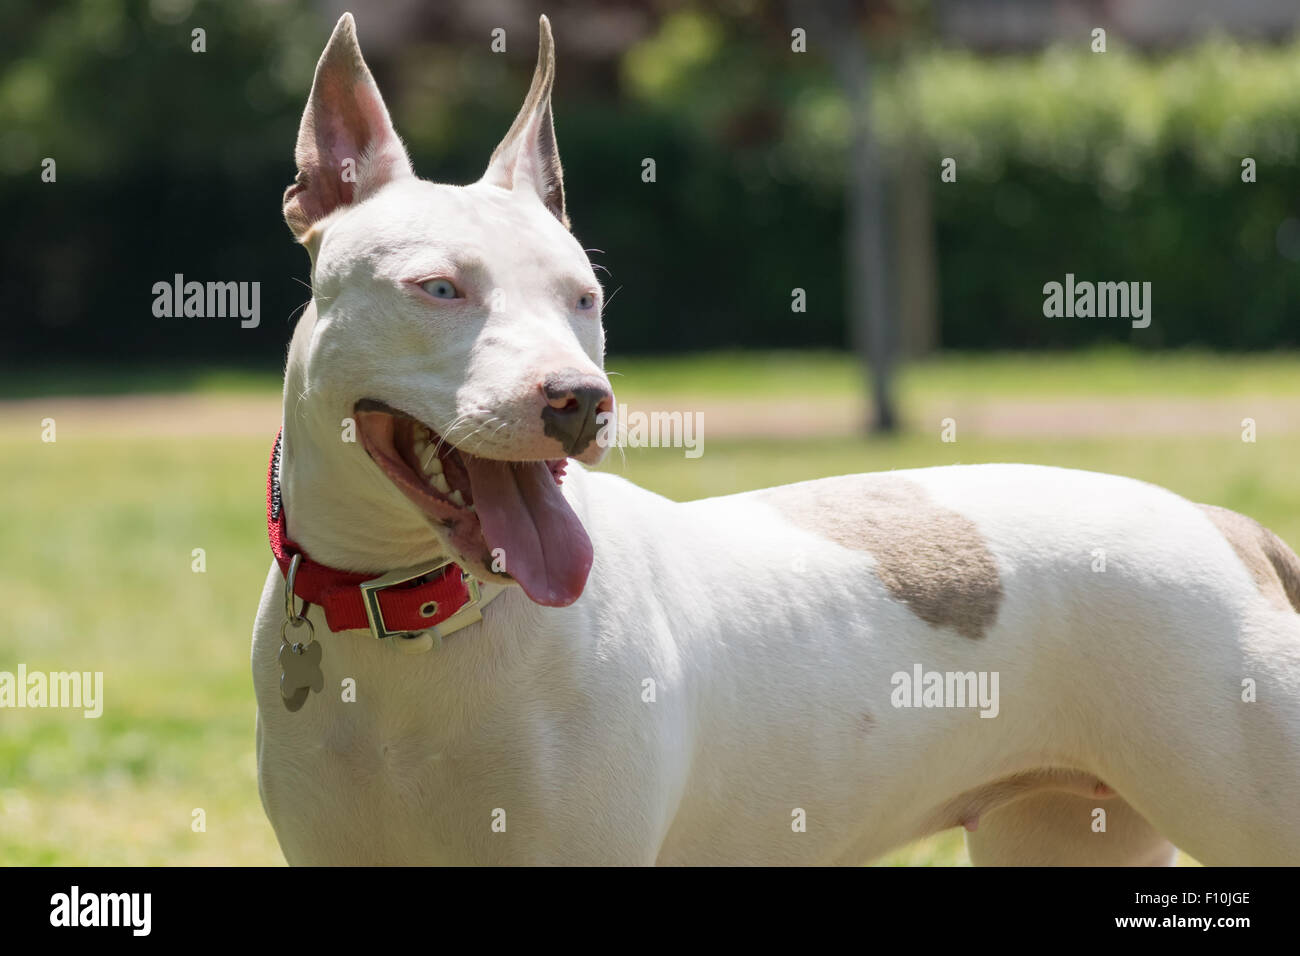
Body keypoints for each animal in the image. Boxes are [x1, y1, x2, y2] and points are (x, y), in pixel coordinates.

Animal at [253, 13, 1300, 868]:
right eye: (438, 288)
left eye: (583, 299)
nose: (581, 400)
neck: (412, 609)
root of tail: (1221, 521)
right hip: (1066, 829)